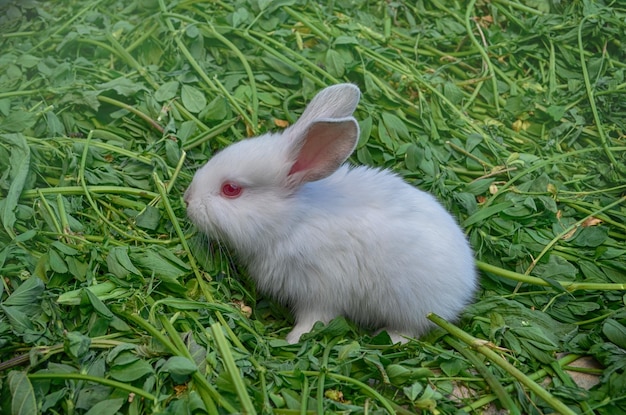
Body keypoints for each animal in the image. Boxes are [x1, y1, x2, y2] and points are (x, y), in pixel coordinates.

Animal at [183, 84, 476, 344]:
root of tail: (467, 278)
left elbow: (314, 320)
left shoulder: (320, 292)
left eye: (231, 189)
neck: (291, 222)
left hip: (409, 304)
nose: (187, 199)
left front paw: (293, 339)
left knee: (412, 329)